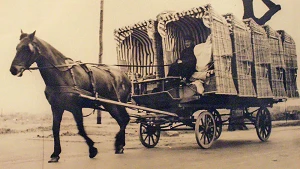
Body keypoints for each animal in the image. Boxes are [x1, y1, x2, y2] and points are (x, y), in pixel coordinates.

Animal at [9, 31, 131, 163]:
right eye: (17, 48)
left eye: (27, 48)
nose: (13, 69)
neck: (62, 75)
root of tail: (125, 76)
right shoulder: (56, 108)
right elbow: (55, 129)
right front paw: (55, 154)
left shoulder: (76, 107)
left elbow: (81, 129)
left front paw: (92, 149)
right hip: (112, 105)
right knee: (123, 120)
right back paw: (120, 145)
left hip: (113, 104)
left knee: (124, 120)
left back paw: (118, 143)